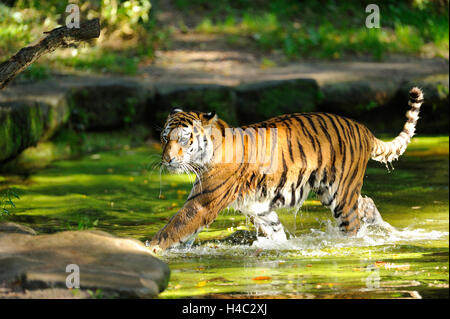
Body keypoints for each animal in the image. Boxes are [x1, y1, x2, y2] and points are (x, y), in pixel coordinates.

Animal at [149, 87, 426, 252]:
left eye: (183, 139)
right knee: (367, 205)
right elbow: (276, 232)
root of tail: (363, 128)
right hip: (335, 191)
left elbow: (174, 227)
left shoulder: (201, 203)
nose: (167, 160)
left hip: (340, 194)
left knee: (352, 224)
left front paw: (150, 248)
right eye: (164, 138)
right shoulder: (259, 208)